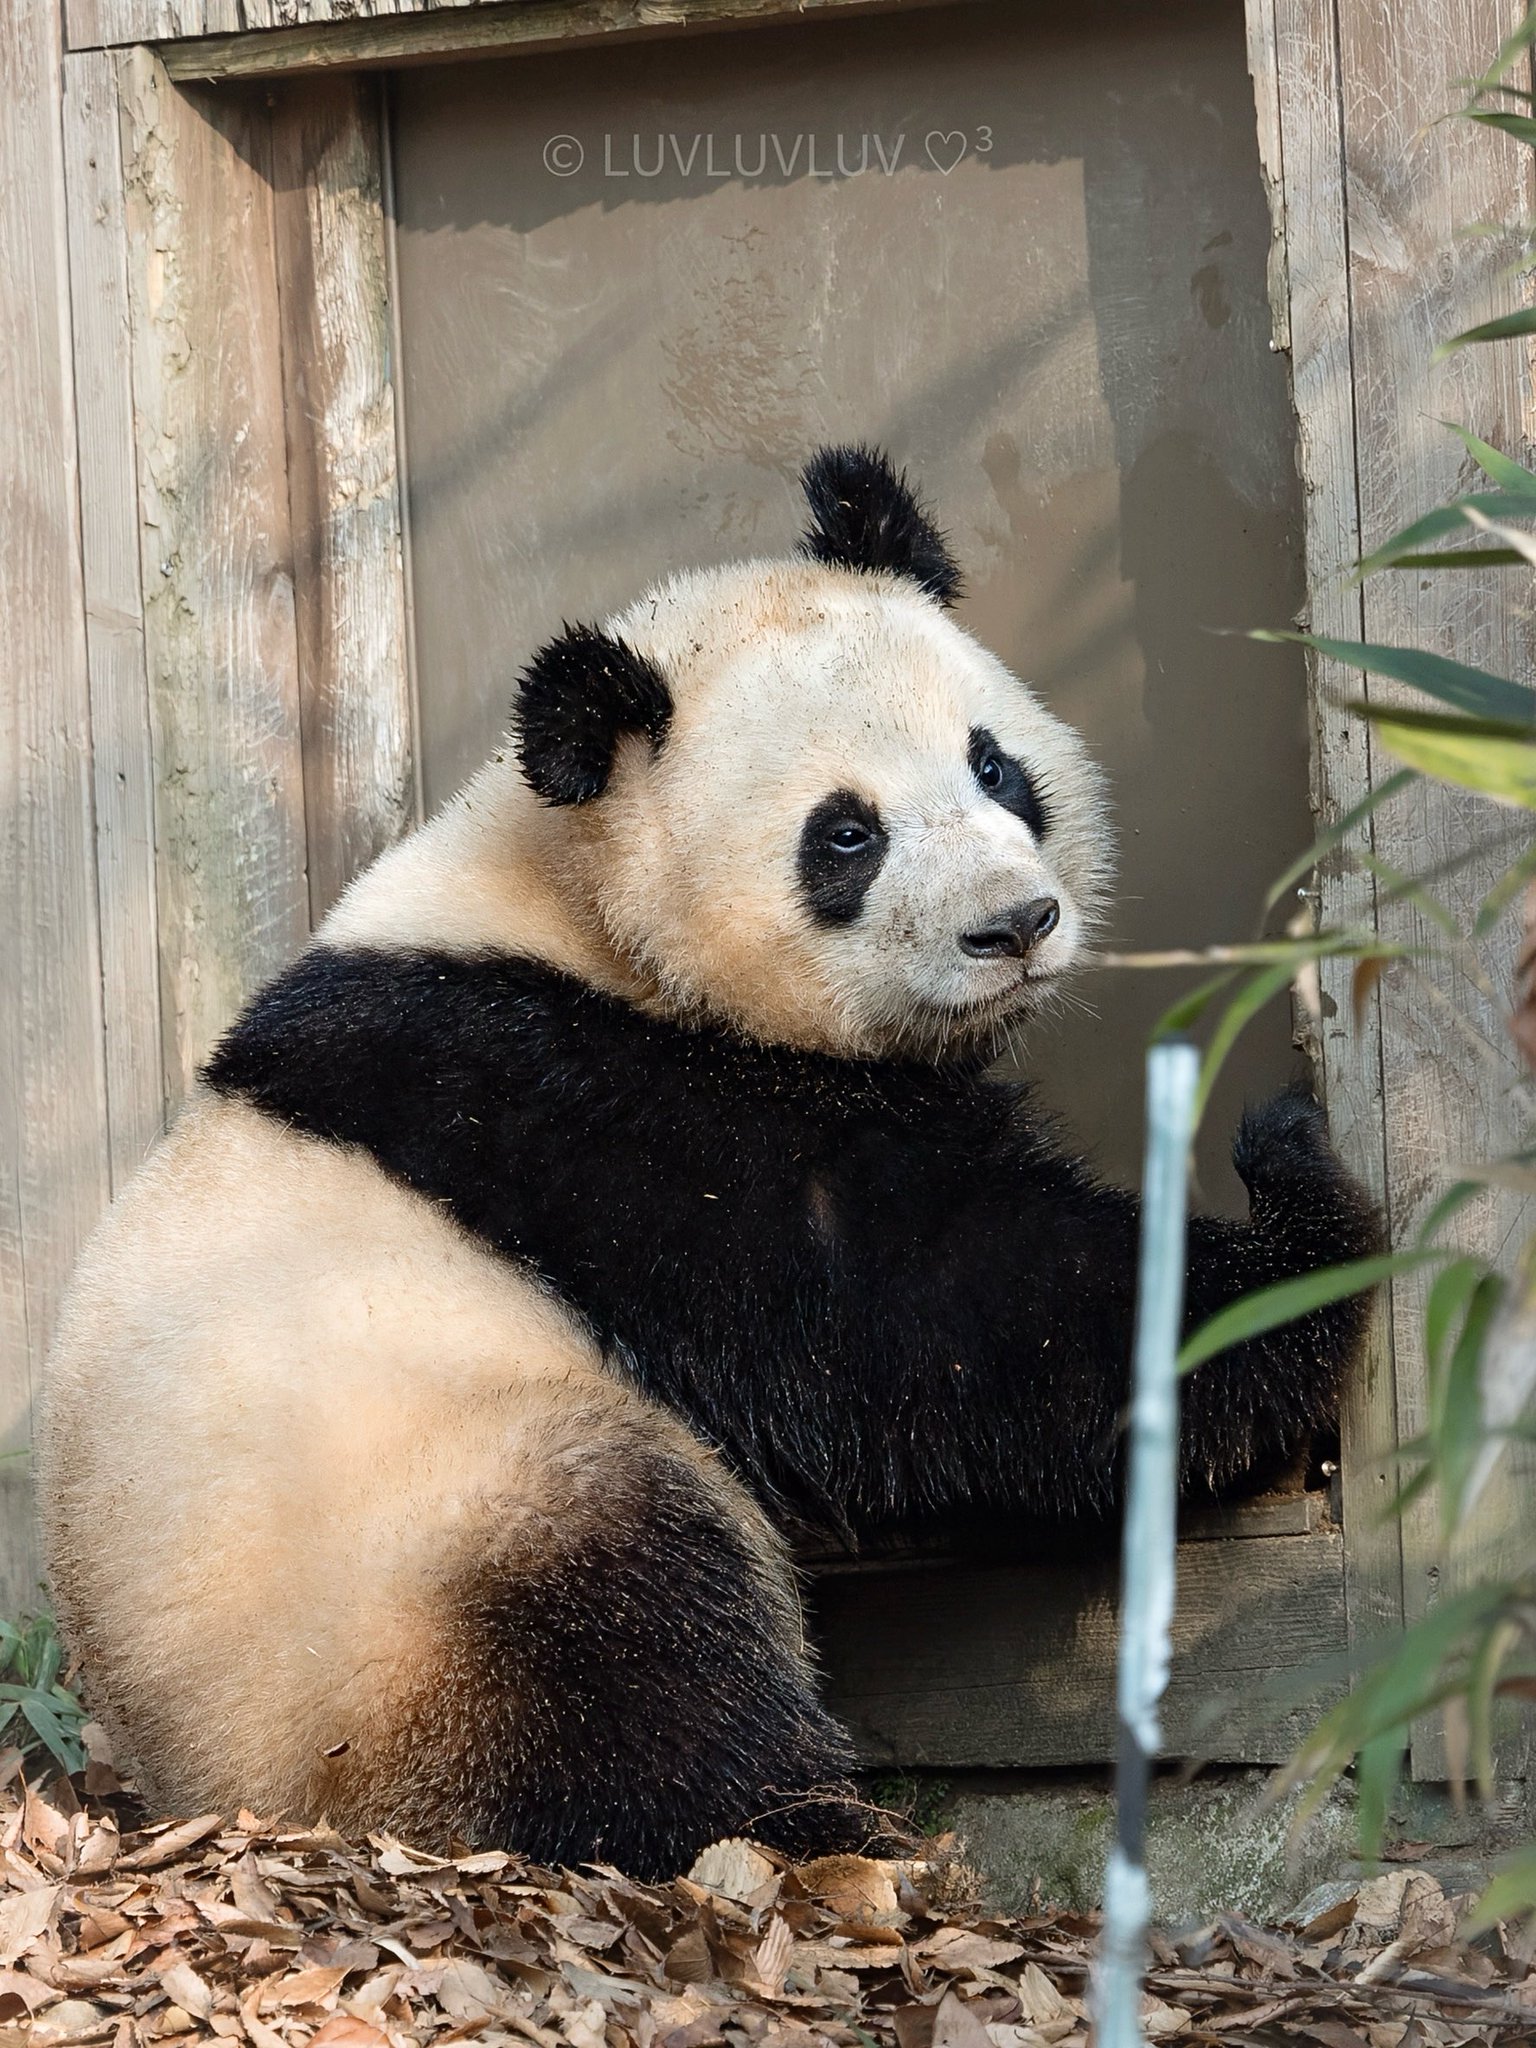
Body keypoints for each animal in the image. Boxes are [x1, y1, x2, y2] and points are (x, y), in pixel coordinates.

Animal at [39, 448, 1384, 1884]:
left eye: (994, 764)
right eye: (844, 837)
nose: (1015, 925)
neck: (577, 899)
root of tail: (218, 1795)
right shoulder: (599, 1111)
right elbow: (940, 1319)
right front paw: (1299, 1213)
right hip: (406, 1545)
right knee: (618, 1644)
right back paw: (814, 1829)